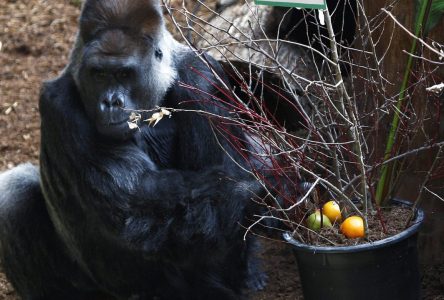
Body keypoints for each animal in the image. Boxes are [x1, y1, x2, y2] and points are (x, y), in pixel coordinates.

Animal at [0, 1, 268, 298]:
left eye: (124, 73)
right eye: (99, 74)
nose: (110, 102)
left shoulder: (203, 79)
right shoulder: (59, 101)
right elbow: (135, 199)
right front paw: (254, 190)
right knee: (13, 194)